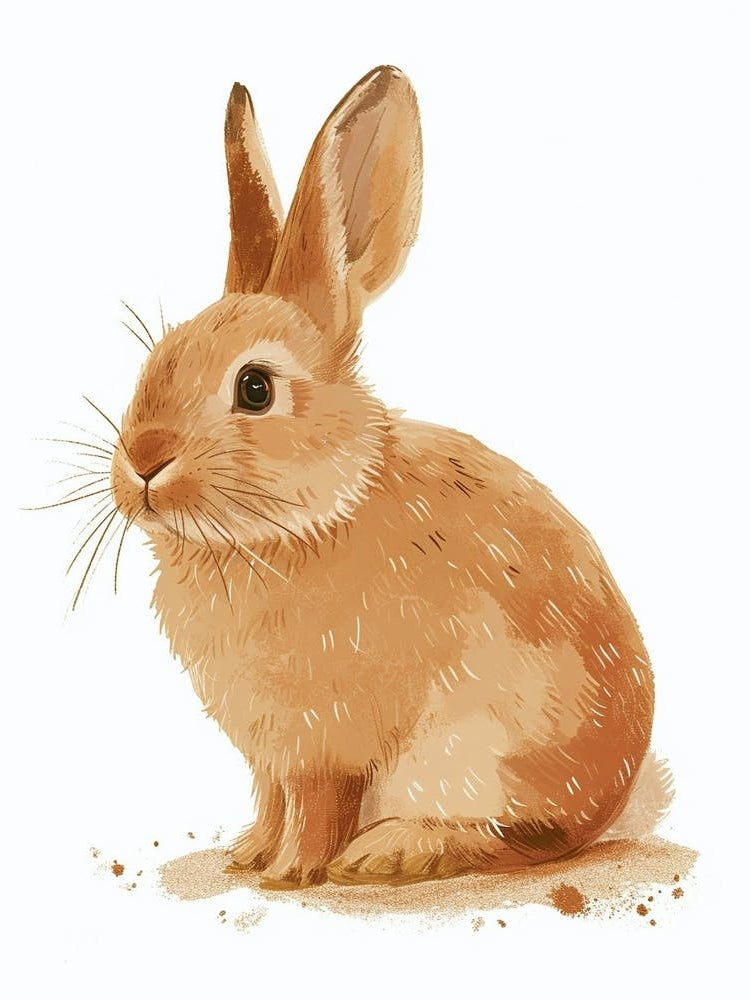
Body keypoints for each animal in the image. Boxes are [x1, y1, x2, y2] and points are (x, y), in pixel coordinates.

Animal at [110, 66, 664, 889]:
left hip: (477, 752)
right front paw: (247, 856)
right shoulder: (272, 755)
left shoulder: (324, 745)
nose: (143, 462)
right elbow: (271, 801)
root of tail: (615, 795)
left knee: (519, 840)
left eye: (255, 389)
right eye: (157, 358)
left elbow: (315, 808)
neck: (300, 522)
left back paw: (394, 849)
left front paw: (289, 875)